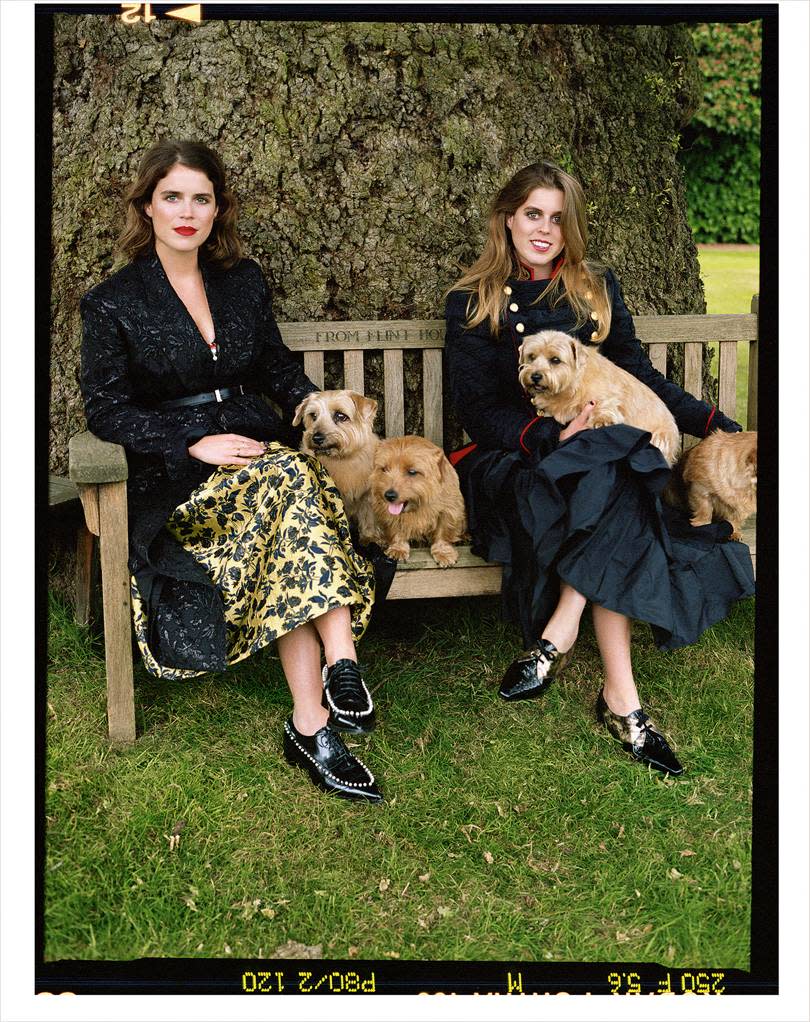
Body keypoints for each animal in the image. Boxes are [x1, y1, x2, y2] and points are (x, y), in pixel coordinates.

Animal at [367, 435, 467, 572]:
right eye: (384, 469)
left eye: (412, 472)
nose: (389, 495)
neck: (418, 504)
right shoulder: (386, 512)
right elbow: (395, 529)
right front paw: (398, 548)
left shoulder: (448, 510)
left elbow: (443, 532)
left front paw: (443, 552)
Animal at [514, 329, 678, 466]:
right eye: (531, 357)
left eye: (555, 360)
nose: (535, 376)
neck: (569, 388)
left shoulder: (608, 396)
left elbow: (605, 404)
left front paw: (602, 420)